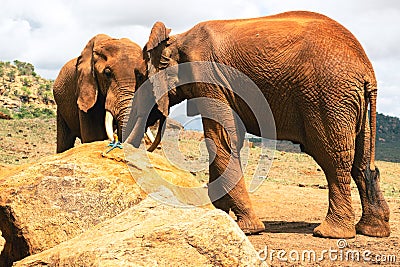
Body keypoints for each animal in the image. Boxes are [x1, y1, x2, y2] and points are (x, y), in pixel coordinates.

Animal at [123, 11, 390, 240]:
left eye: (140, 77)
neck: (177, 38)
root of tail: (368, 71)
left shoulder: (208, 77)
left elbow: (220, 141)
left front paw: (249, 229)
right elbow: (227, 142)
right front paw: (219, 212)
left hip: (328, 96)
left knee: (332, 159)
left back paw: (330, 233)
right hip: (351, 102)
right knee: (362, 162)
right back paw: (373, 230)